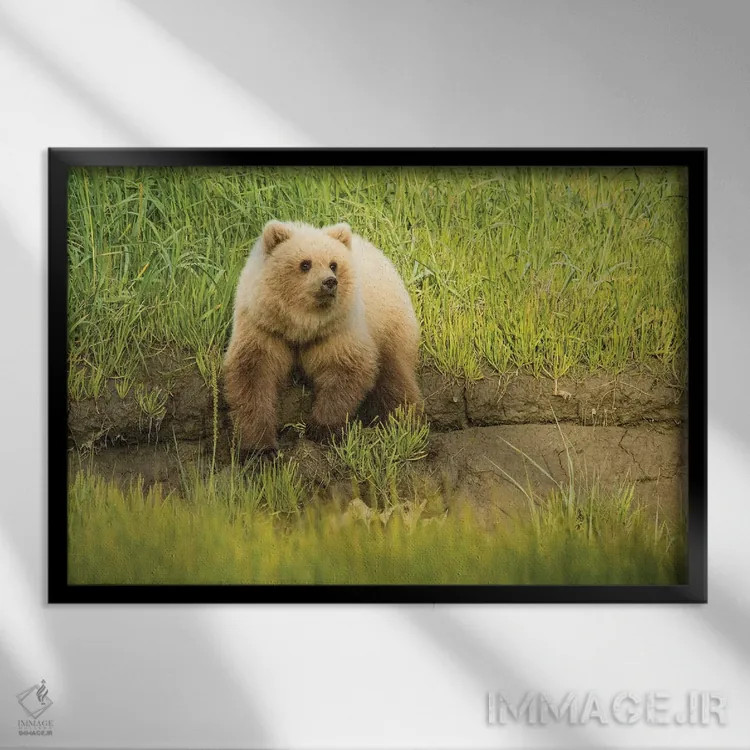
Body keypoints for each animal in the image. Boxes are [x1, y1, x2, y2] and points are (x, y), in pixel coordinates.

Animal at [223, 220, 421, 453]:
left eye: (333, 264)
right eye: (305, 264)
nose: (330, 282)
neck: (300, 326)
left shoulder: (336, 331)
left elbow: (346, 372)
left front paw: (320, 429)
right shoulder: (264, 329)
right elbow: (252, 376)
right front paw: (260, 447)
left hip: (388, 325)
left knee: (394, 378)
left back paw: (403, 421)